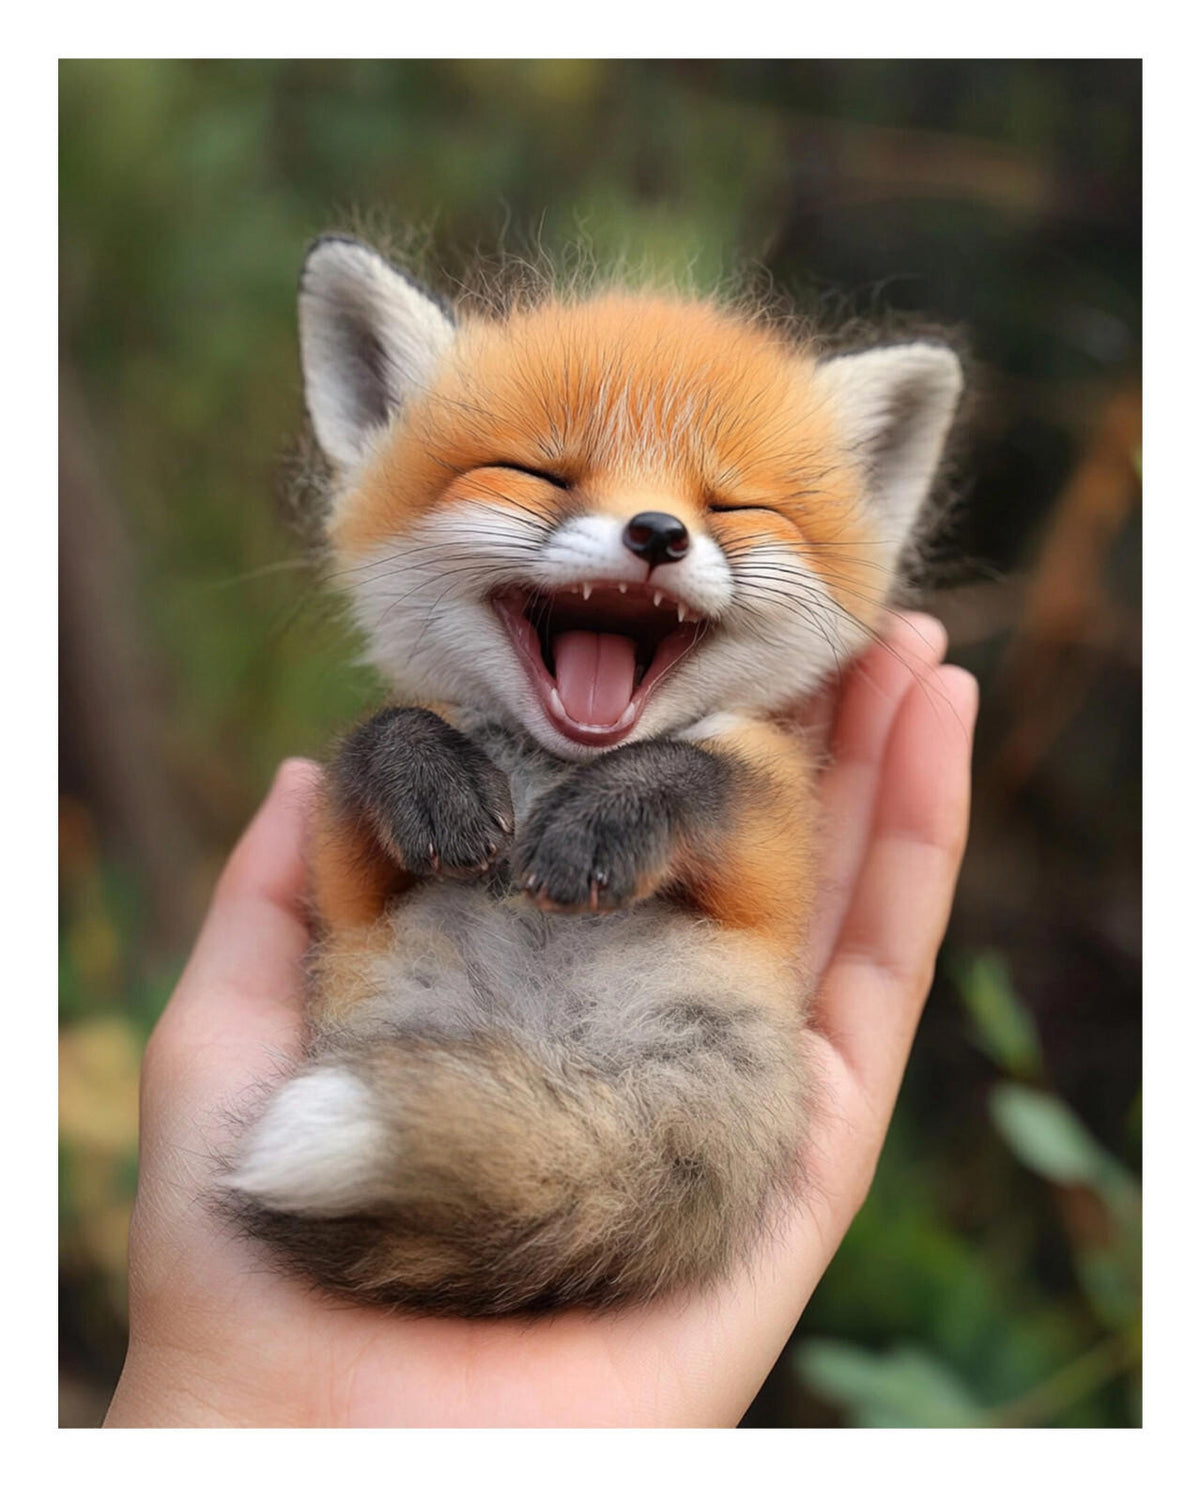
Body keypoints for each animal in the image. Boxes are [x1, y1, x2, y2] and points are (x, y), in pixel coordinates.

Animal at [224, 235, 964, 1315]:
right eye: (539, 473)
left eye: (731, 504)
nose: (657, 532)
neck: (553, 769)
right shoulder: (350, 887)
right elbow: (379, 738)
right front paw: (435, 784)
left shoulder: (776, 844)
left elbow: (694, 772)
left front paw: (600, 826)